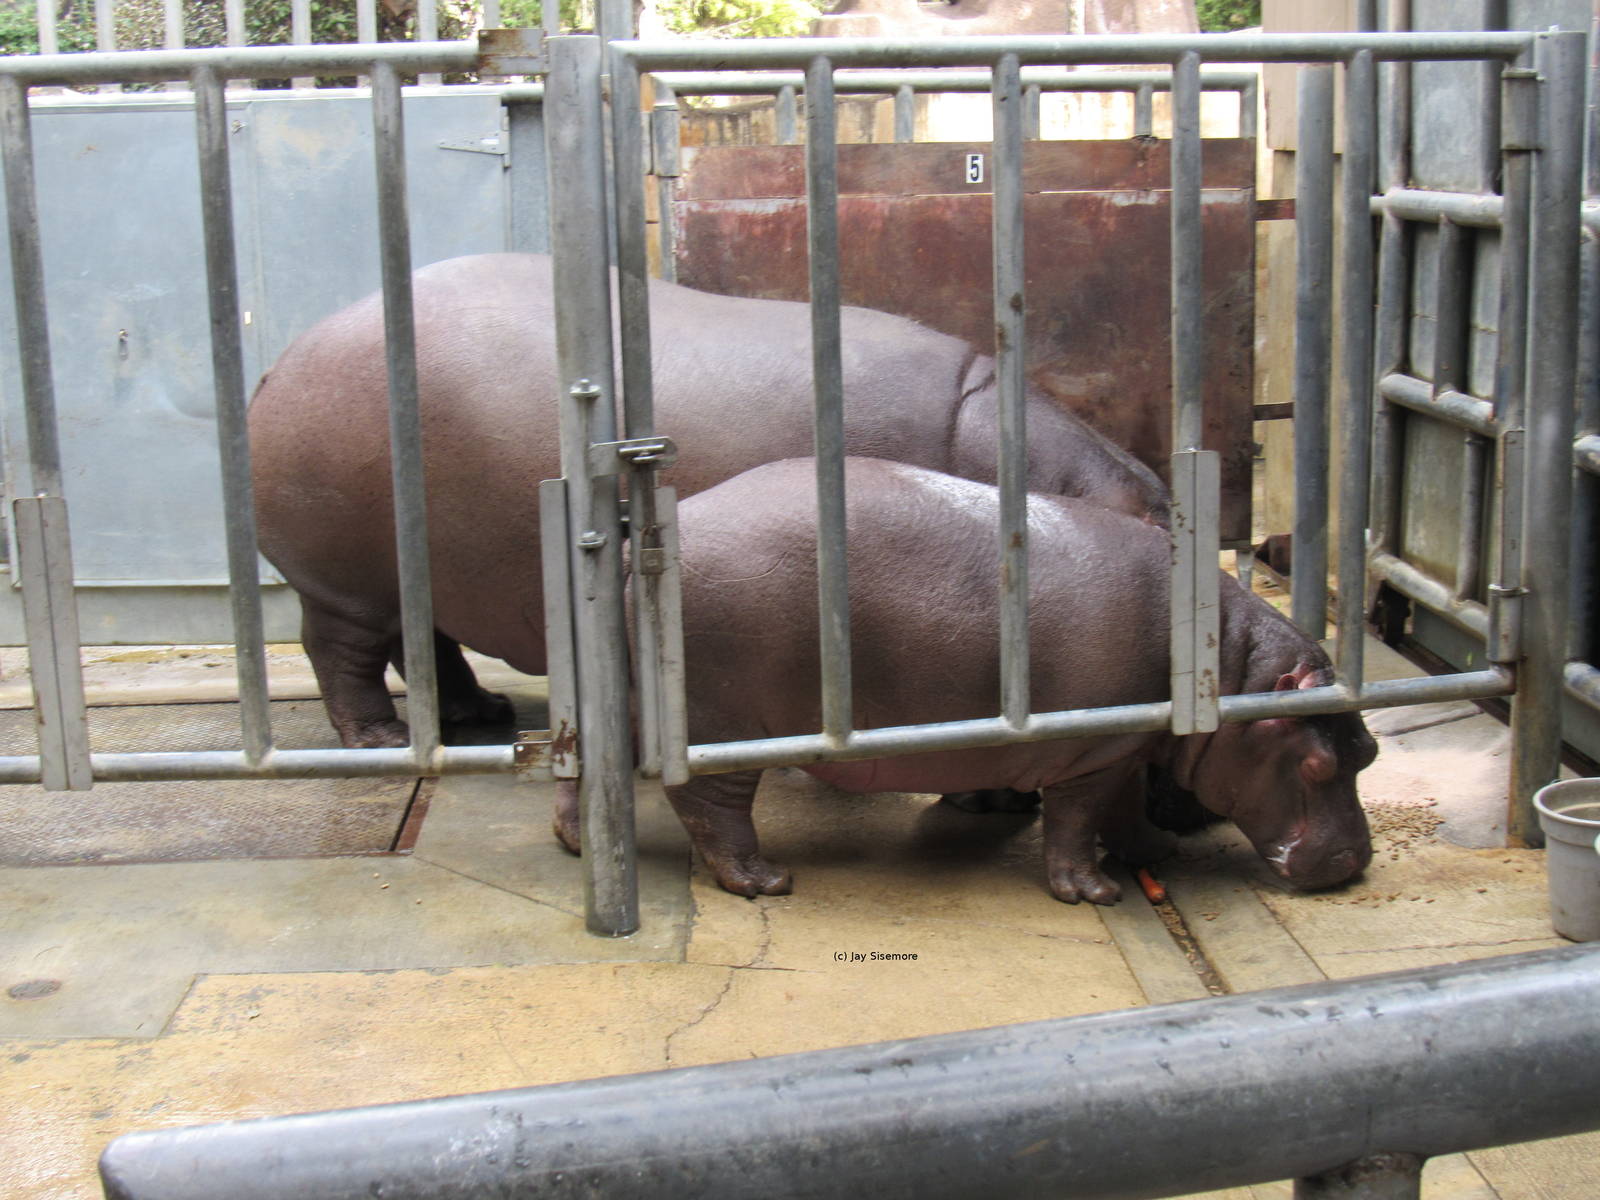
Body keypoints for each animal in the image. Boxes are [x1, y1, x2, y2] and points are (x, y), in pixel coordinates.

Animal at [249, 253, 1168, 749]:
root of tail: (282, 359)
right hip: (347, 581)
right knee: (343, 655)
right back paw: (381, 738)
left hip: (421, 571)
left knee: (429, 645)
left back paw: (484, 714)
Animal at [557, 457, 1375, 905]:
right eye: (1316, 764)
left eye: (1367, 753)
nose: (1354, 864)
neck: (1228, 666)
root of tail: (640, 547)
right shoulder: (1094, 750)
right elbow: (1076, 821)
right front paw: (1095, 893)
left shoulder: (1126, 748)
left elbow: (1117, 812)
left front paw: (1150, 853)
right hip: (720, 724)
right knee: (711, 808)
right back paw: (765, 881)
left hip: (620, 706)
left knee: (585, 762)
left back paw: (575, 842)